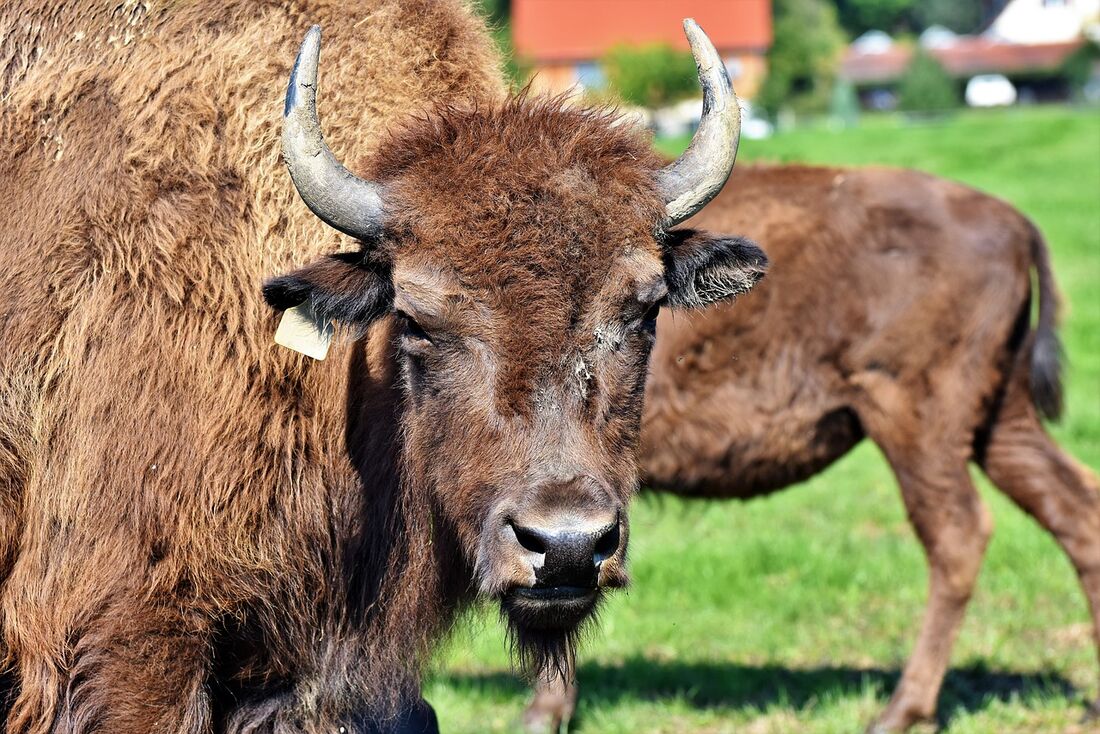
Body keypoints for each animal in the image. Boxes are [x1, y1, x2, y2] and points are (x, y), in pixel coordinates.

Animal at [525, 163, 1100, 730]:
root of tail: (1016, 224)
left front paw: (546, 711)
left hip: (917, 422)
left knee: (958, 533)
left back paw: (900, 711)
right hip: (1001, 420)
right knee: (1075, 511)